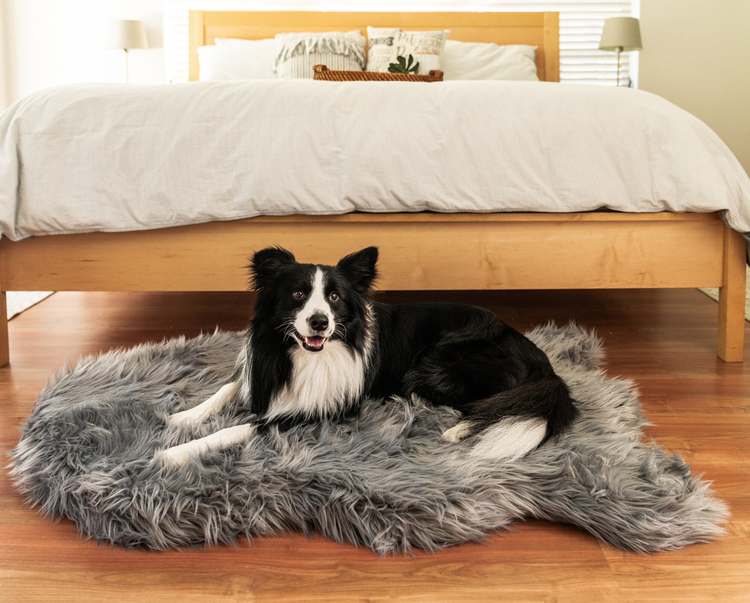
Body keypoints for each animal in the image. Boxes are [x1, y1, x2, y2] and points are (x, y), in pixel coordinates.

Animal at [160, 248, 580, 470]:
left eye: (334, 298)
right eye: (297, 294)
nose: (319, 321)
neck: (298, 355)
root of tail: (541, 360)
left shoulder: (322, 409)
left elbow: (243, 427)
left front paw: (173, 453)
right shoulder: (259, 370)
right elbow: (228, 388)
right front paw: (184, 418)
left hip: (435, 363)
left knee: (495, 403)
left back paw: (459, 429)